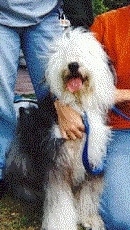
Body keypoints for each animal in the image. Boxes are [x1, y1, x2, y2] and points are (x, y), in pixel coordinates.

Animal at [5, 27, 115, 230]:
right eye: (64, 53)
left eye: (85, 52)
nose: (73, 65)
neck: (78, 106)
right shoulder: (56, 161)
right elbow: (59, 200)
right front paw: (61, 224)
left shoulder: (92, 157)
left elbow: (88, 193)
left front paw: (89, 219)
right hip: (21, 157)